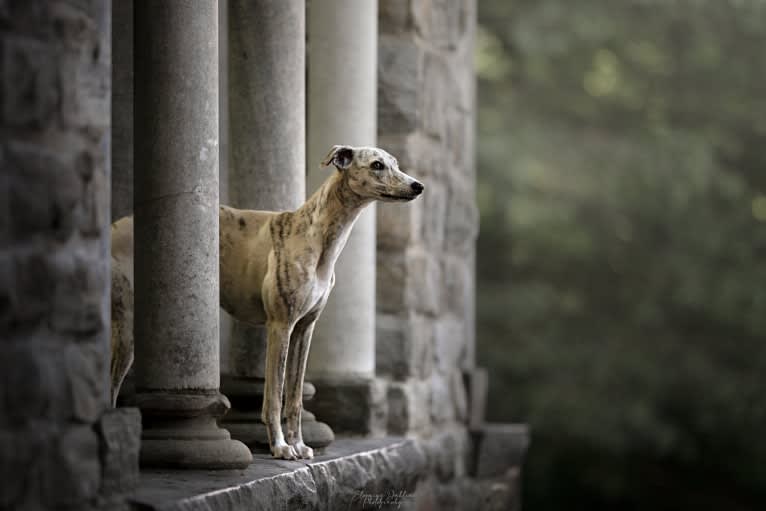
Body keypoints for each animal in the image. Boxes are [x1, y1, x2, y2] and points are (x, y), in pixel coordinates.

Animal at [109, 144, 426, 460]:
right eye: (376, 165)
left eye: (396, 163)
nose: (418, 186)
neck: (315, 235)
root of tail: (115, 226)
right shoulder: (280, 325)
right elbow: (274, 395)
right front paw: (281, 447)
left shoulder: (304, 329)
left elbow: (295, 397)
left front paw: (299, 444)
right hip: (125, 332)